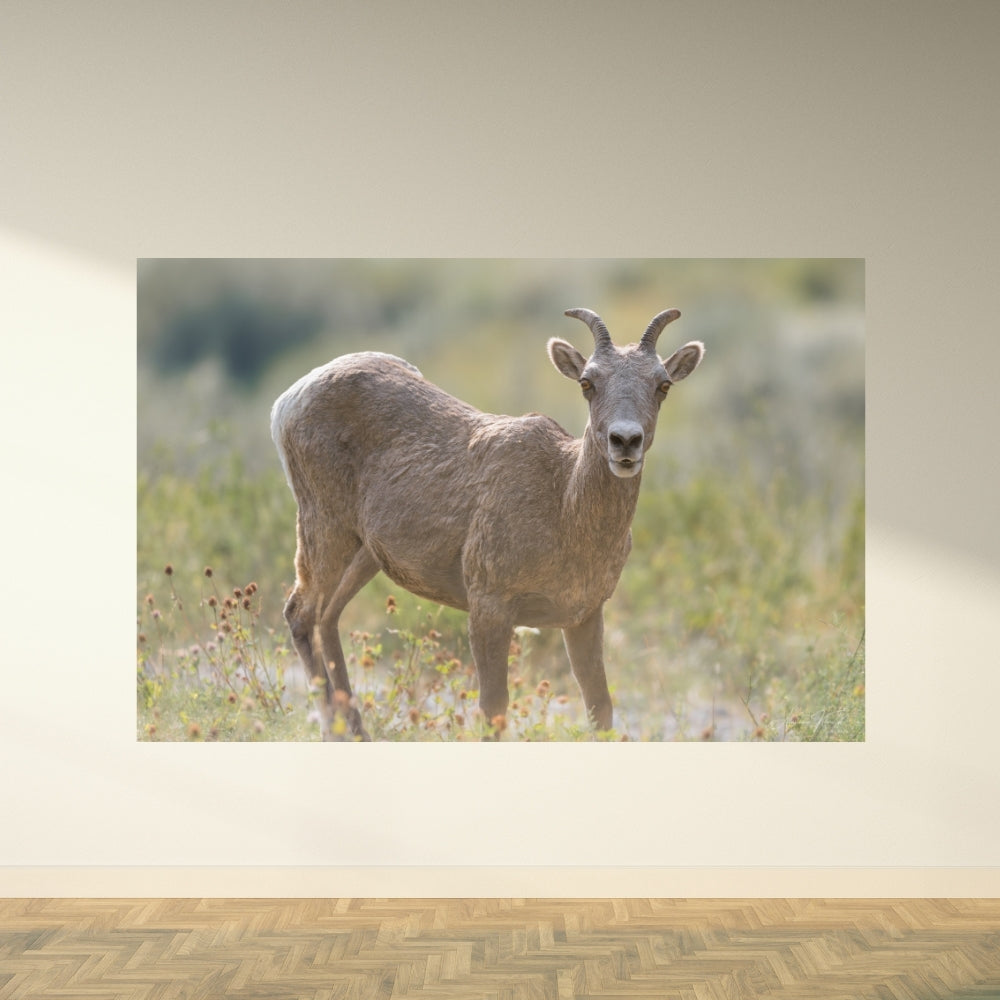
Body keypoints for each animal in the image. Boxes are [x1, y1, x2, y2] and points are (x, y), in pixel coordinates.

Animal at [271, 308, 704, 739]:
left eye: (663, 384)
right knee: (300, 613)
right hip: (324, 526)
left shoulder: (584, 614)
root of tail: (286, 402)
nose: (625, 441)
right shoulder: (489, 605)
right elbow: (494, 708)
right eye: (587, 382)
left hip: (365, 552)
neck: (565, 510)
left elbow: (600, 708)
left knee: (328, 616)